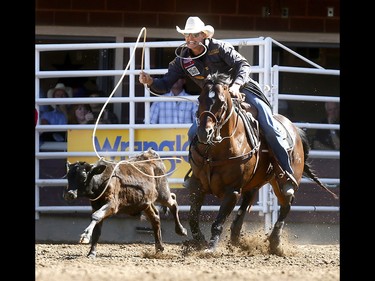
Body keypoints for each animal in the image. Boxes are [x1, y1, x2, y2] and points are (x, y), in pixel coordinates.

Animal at [187, 71, 338, 254]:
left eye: (221, 102)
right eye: (199, 99)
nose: (204, 132)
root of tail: (295, 129)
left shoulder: (232, 191)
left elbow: (218, 222)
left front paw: (210, 248)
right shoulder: (197, 184)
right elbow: (192, 218)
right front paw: (200, 241)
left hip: (283, 181)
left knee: (287, 203)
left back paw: (274, 242)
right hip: (256, 182)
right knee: (246, 205)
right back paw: (236, 239)